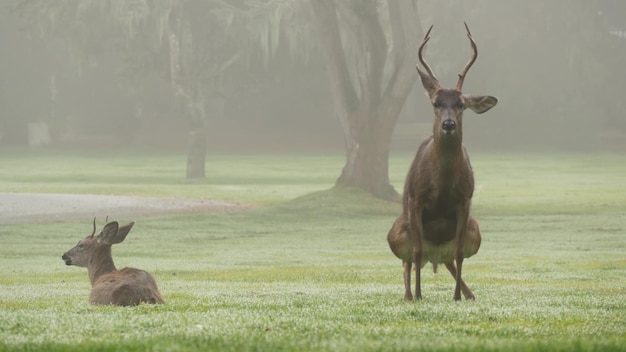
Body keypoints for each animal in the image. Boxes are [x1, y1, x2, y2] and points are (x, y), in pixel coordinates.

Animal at [386, 23, 498, 302]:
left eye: (461, 105)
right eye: (436, 103)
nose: (448, 124)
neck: (443, 183)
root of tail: (434, 255)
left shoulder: (465, 199)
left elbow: (458, 254)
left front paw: (456, 296)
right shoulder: (415, 198)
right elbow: (415, 253)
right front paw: (418, 295)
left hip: (474, 231)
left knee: (449, 260)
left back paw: (469, 293)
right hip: (396, 232)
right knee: (407, 261)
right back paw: (408, 294)